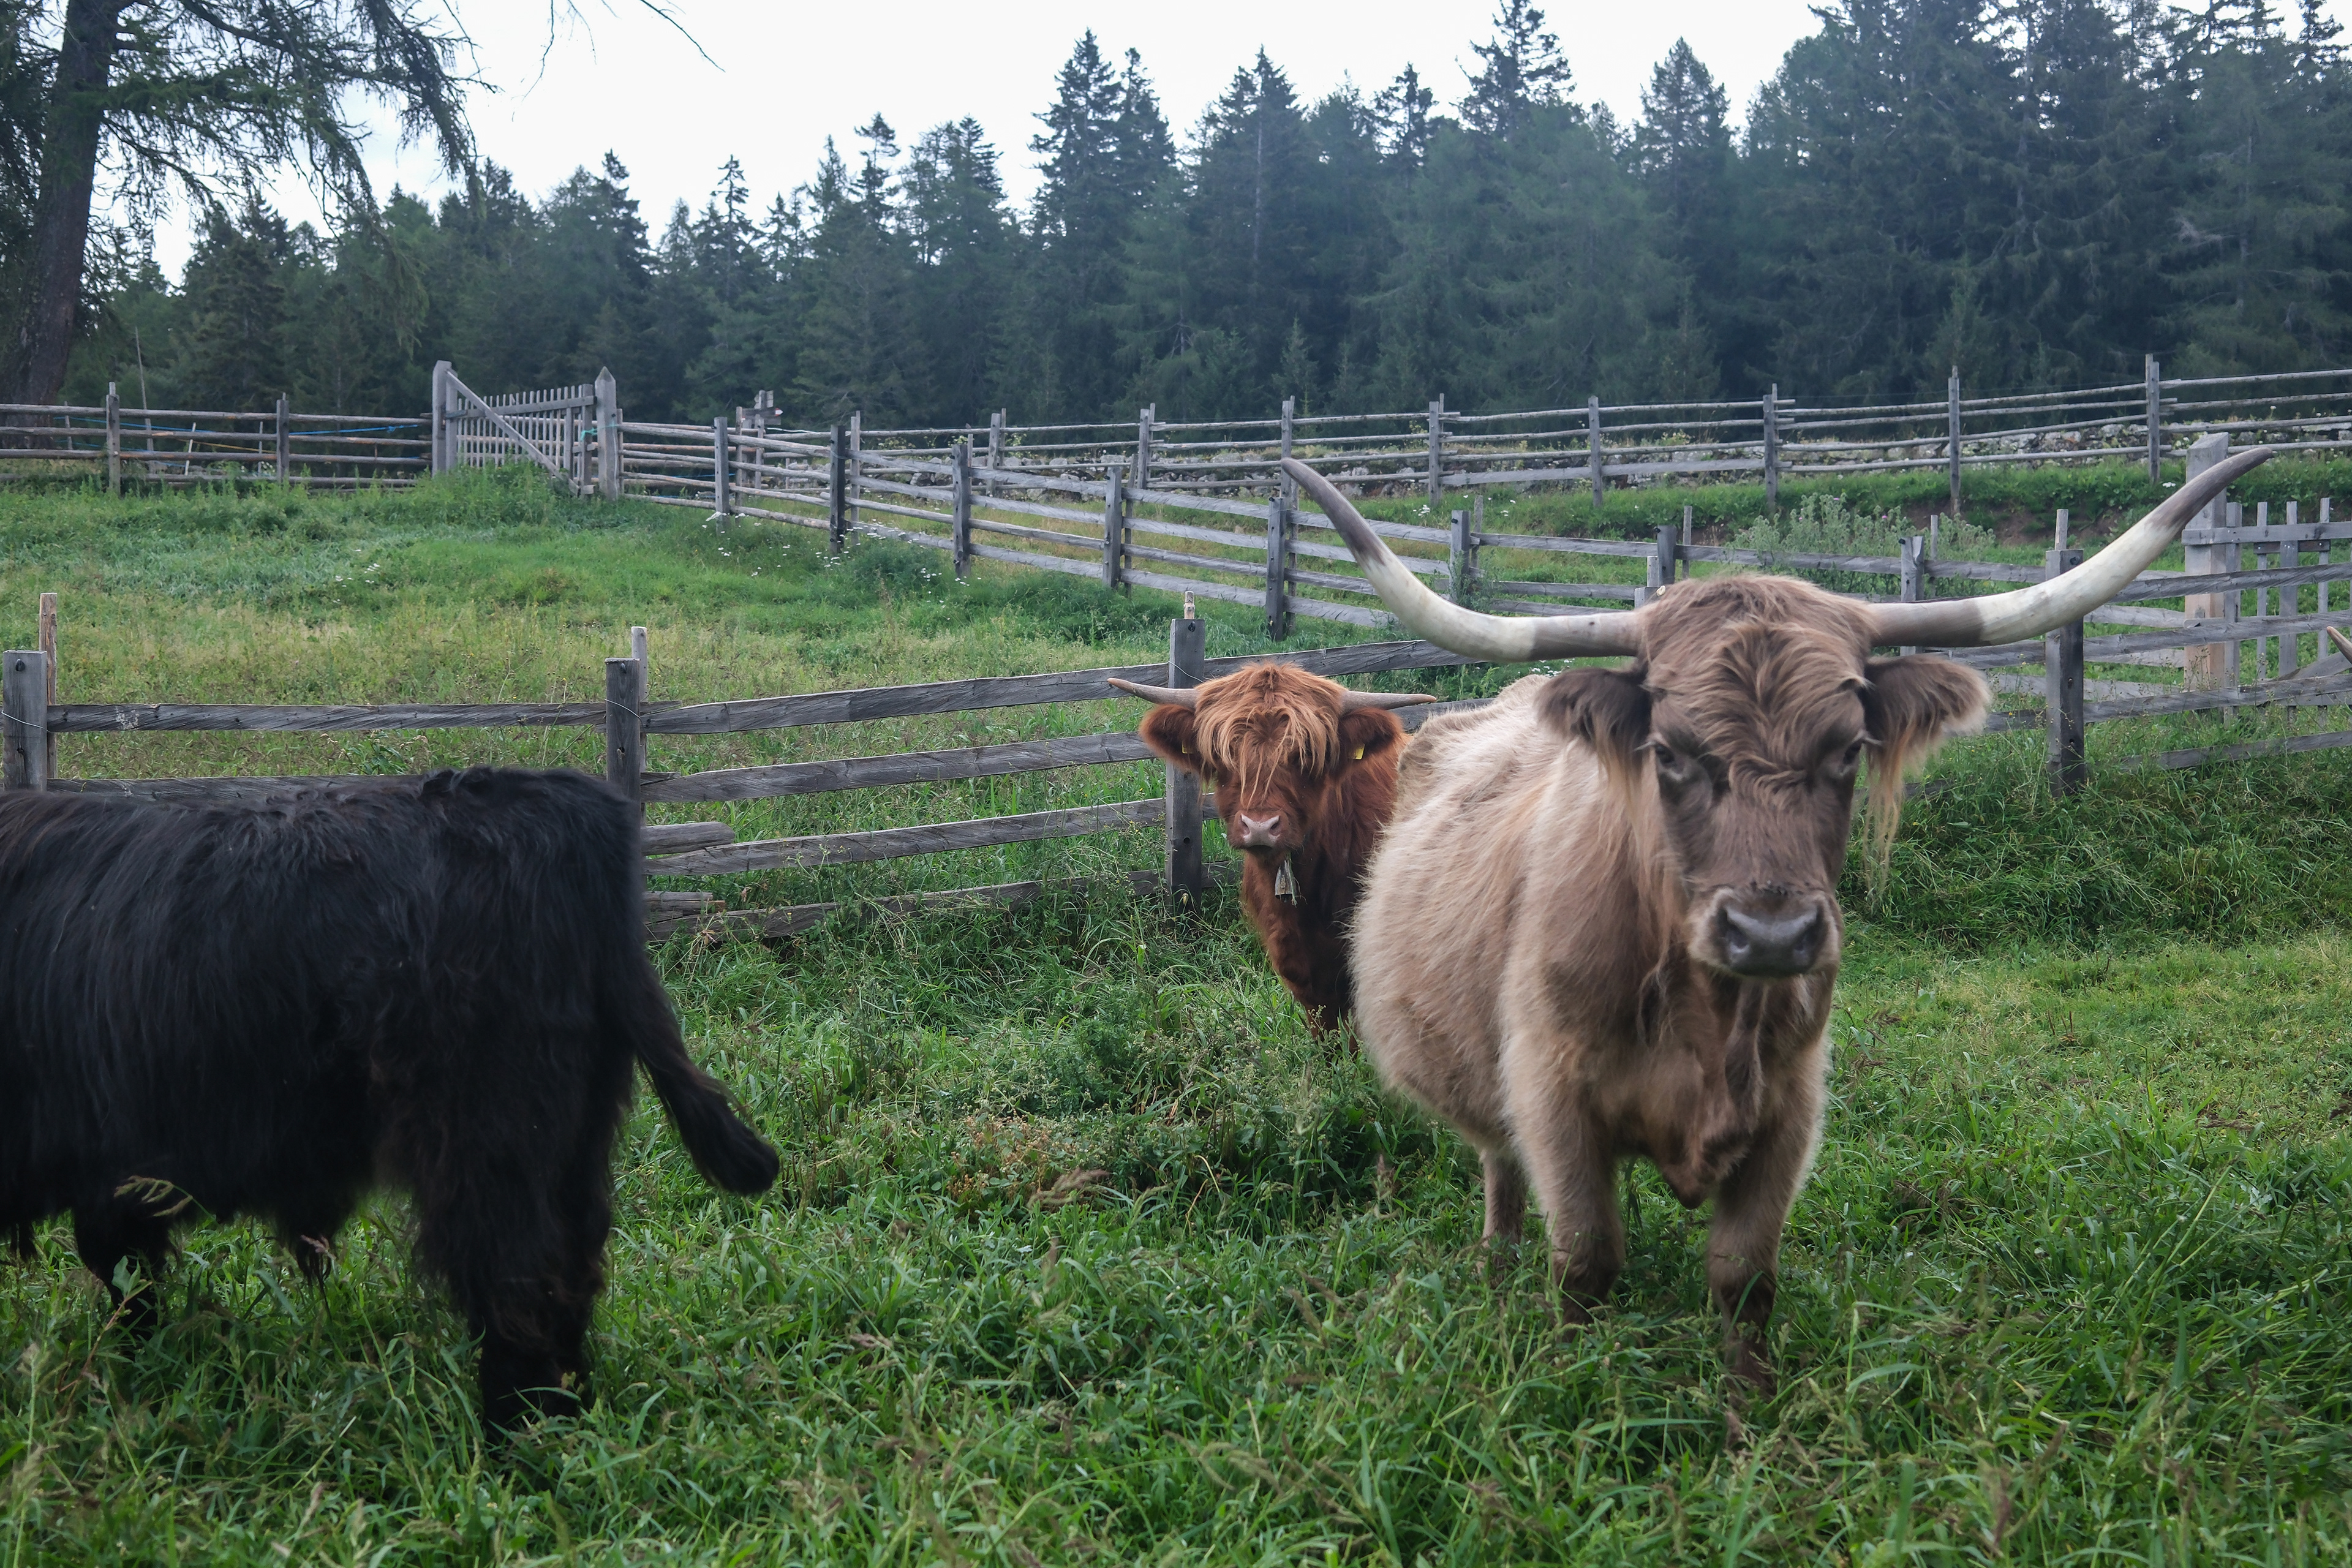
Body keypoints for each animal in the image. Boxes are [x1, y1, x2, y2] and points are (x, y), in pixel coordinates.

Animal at [0, 766, 778, 1427]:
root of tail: (562, 799)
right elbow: (129, 1284)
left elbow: (124, 1279)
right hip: (575, 1140)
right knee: (573, 1271)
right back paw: (567, 1409)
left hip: (486, 1143)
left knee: (518, 1281)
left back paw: (517, 1437)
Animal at [1282, 448, 2269, 1394]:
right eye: (1670, 753)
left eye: (1848, 748)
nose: (1770, 935)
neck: (1704, 1017)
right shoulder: (1552, 1093)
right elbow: (1587, 1263)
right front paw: (1573, 1390)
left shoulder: (1790, 1107)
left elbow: (1744, 1275)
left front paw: (1749, 1412)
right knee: (1500, 1176)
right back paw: (1495, 1274)